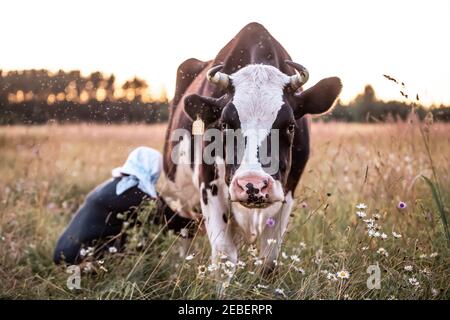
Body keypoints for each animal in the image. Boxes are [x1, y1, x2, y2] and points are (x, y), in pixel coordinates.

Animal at [160, 23, 342, 278]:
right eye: (225, 124)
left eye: (290, 126)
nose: (252, 184)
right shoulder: (209, 187)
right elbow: (224, 255)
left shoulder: (287, 191)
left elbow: (269, 258)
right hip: (179, 201)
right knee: (184, 234)